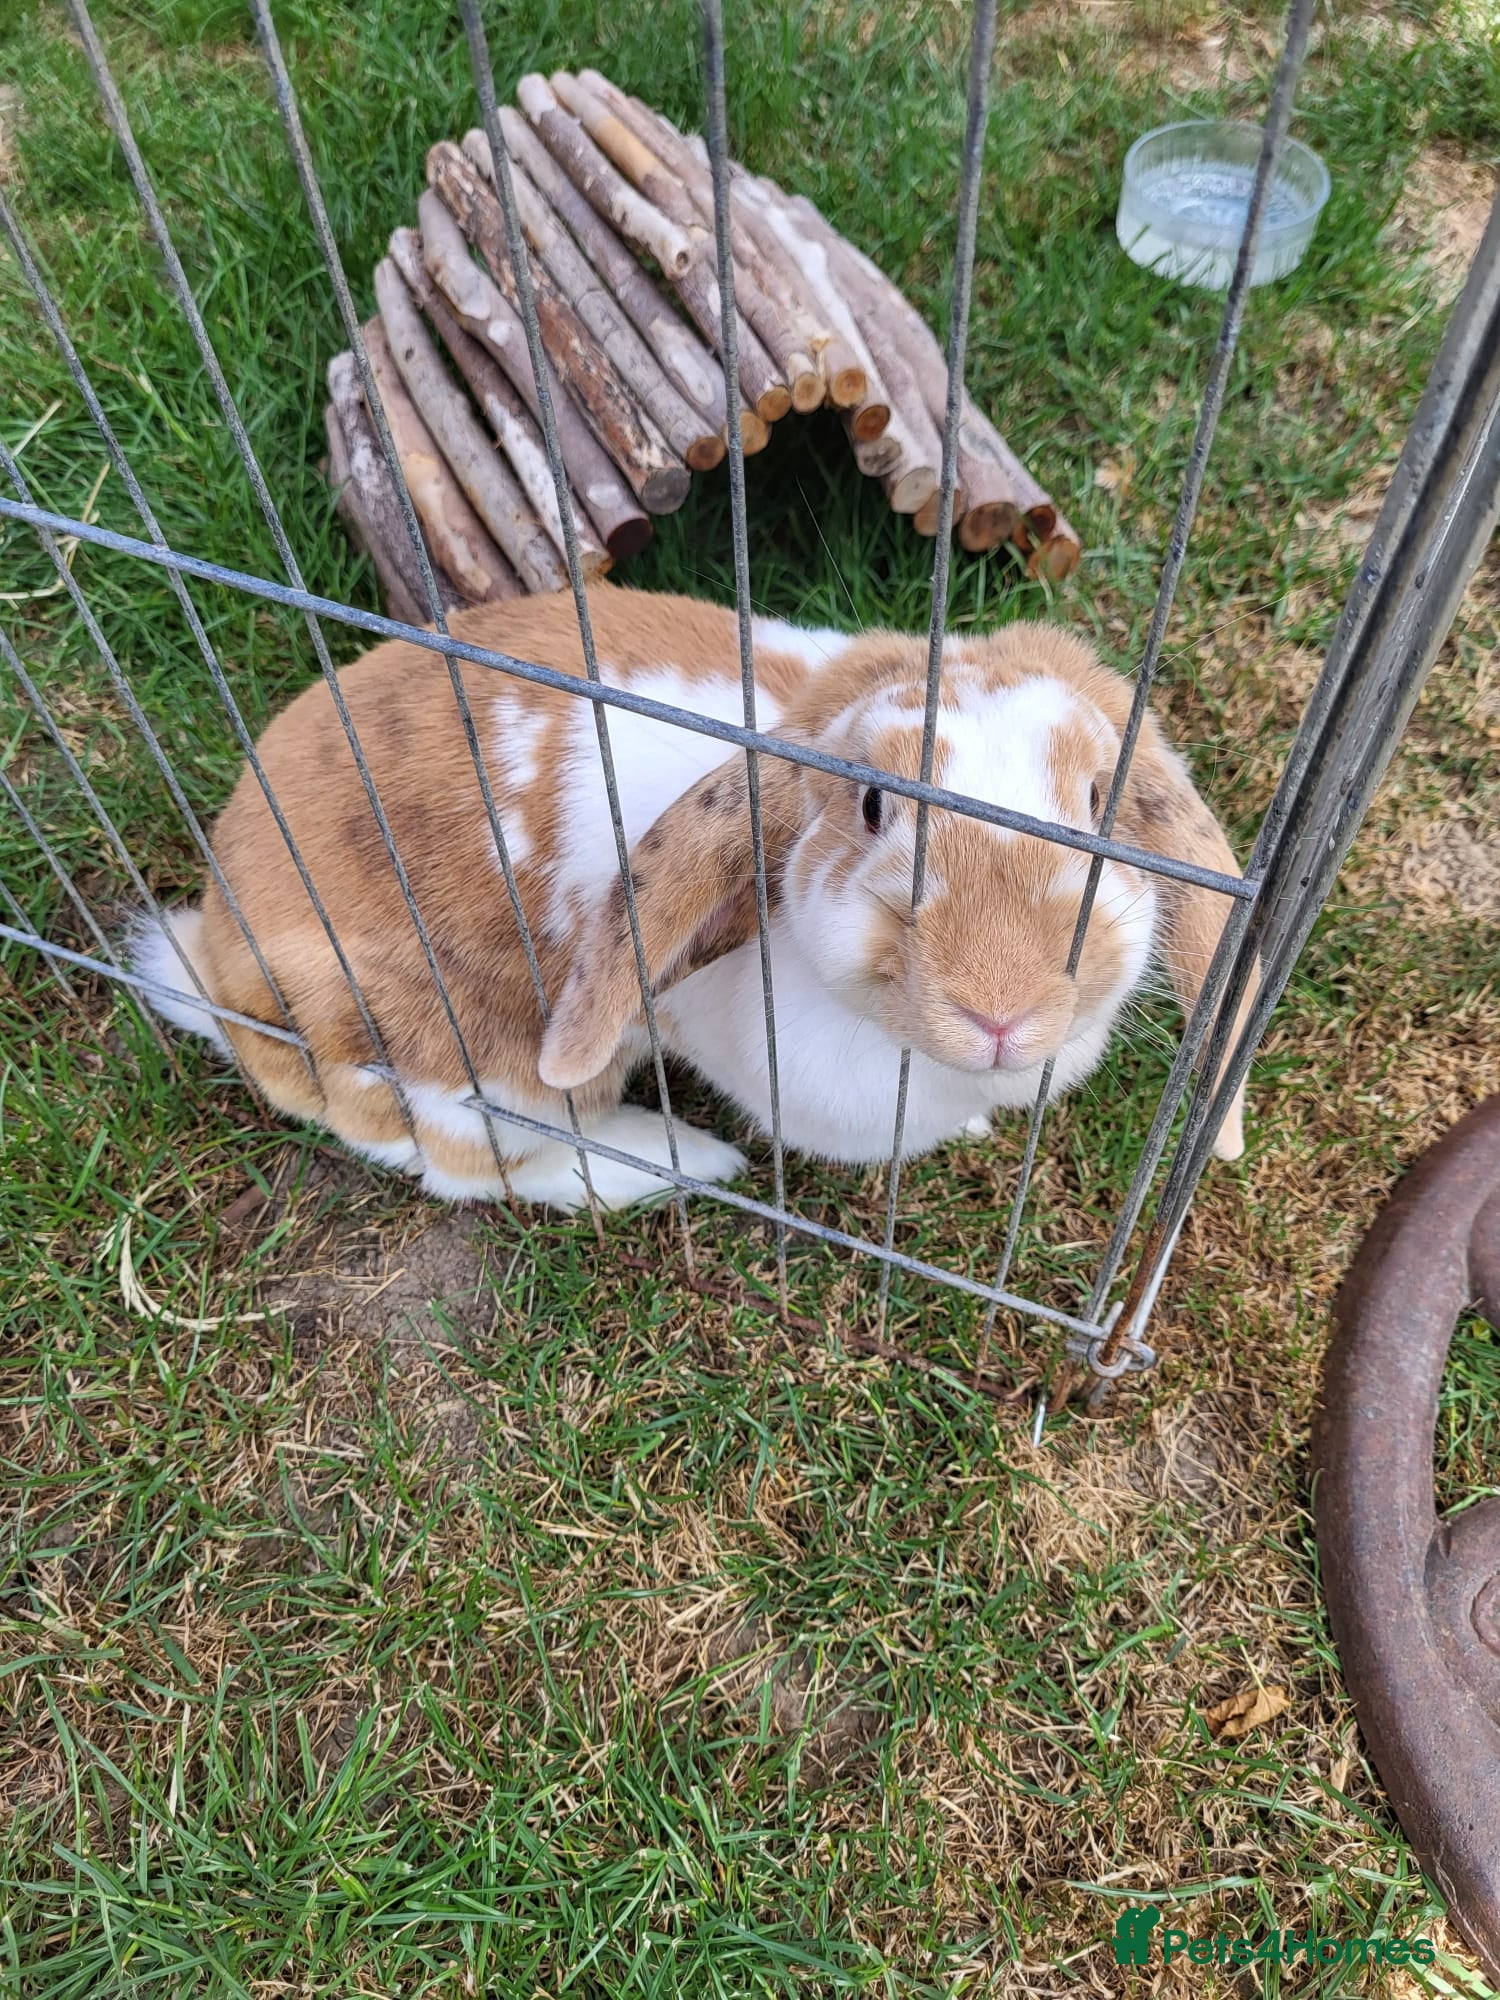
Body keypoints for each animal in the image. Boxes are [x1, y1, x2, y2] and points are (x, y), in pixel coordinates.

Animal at [133, 583, 1254, 1210]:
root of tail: (223, 968)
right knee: (487, 1167)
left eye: (1101, 800)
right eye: (872, 806)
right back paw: (681, 1162)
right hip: (482, 1073)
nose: (1001, 1006)